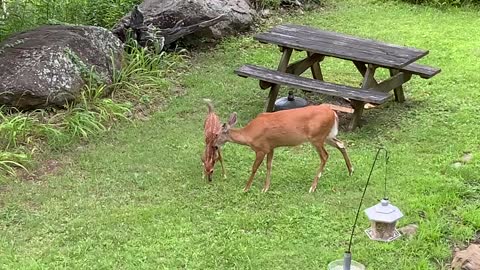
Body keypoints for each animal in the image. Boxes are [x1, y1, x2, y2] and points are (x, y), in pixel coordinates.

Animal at [214, 104, 352, 193]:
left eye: (216, 134)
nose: (214, 146)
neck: (249, 135)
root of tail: (333, 113)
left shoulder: (261, 148)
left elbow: (254, 168)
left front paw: (246, 188)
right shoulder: (270, 147)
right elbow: (269, 165)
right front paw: (265, 188)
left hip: (317, 137)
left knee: (325, 156)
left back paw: (312, 187)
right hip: (327, 135)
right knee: (341, 144)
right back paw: (351, 170)